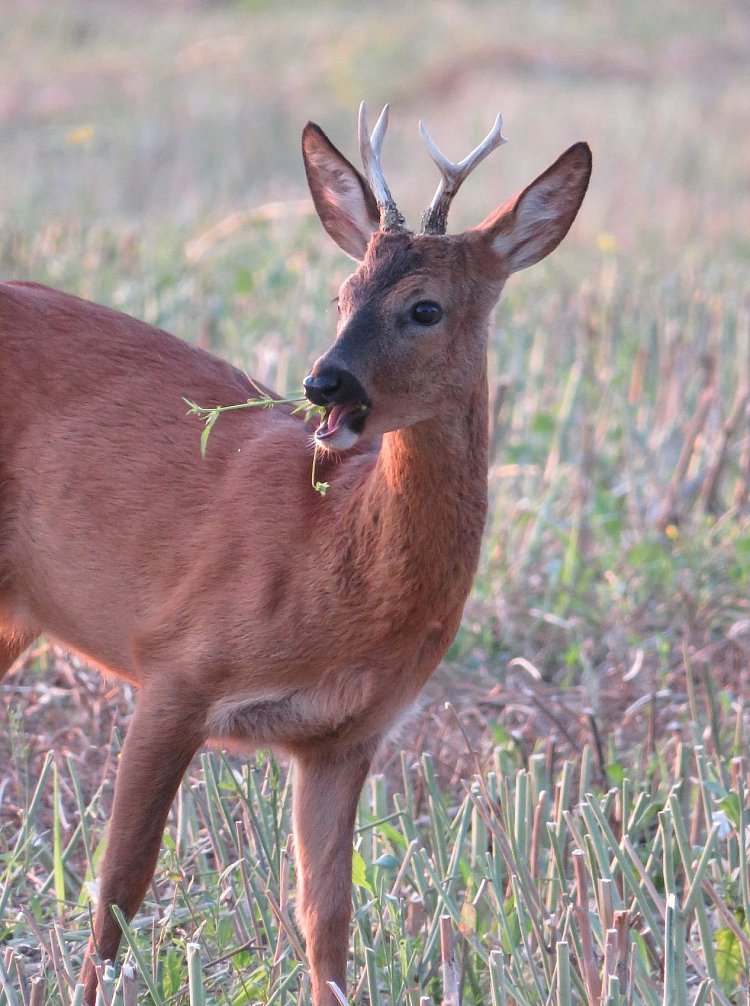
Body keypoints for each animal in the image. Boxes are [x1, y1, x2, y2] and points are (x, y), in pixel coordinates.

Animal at [0, 104, 591, 1006]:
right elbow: (118, 894)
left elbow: (328, 921)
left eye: (425, 308)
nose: (325, 383)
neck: (327, 563)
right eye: (342, 293)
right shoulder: (176, 665)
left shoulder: (344, 737)